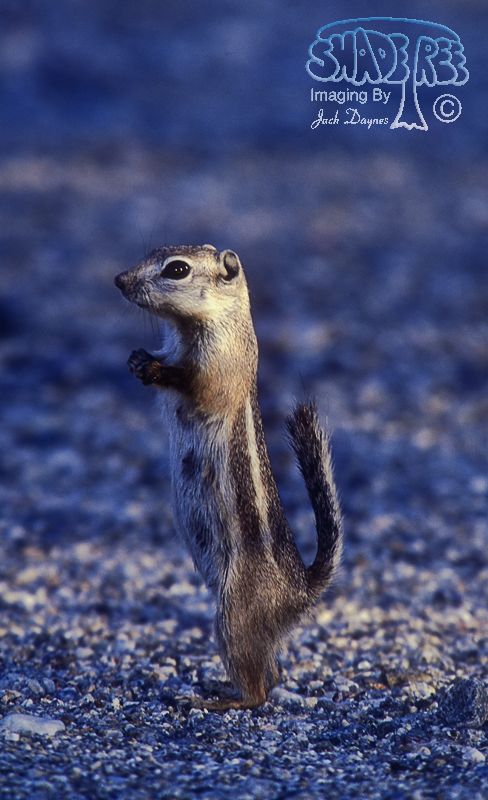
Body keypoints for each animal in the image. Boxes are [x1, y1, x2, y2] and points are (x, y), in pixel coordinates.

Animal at [115, 244, 343, 710]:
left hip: (233, 611)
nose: (119, 280)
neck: (190, 329)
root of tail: (299, 592)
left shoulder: (224, 364)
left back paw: (222, 700)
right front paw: (138, 359)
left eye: (177, 270)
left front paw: (156, 369)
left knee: (260, 690)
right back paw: (220, 687)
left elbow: (202, 385)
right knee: (274, 672)